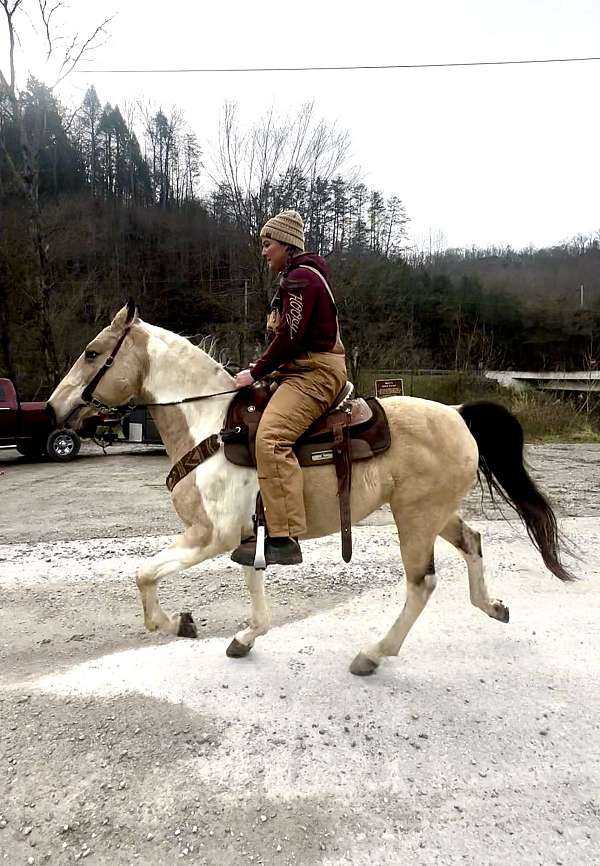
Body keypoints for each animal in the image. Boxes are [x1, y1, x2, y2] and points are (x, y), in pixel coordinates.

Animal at [47, 298, 572, 676]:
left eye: (92, 353)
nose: (53, 408)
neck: (210, 425)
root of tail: (459, 414)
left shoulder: (209, 535)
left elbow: (144, 574)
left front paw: (179, 623)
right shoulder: (249, 535)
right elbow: (254, 593)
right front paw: (243, 638)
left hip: (415, 518)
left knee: (421, 583)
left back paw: (373, 653)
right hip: (434, 513)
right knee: (473, 542)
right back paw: (493, 606)